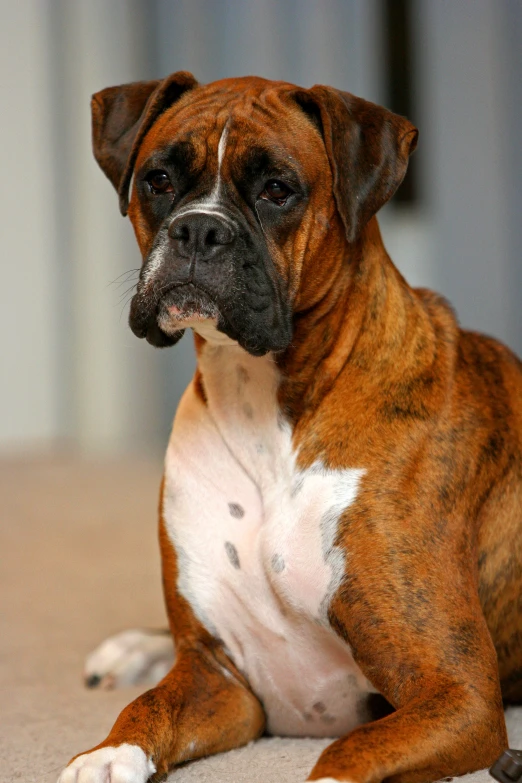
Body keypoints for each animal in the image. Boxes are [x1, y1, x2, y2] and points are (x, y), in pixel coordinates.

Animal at [57, 70, 520, 780]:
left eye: (278, 190)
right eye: (158, 180)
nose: (199, 230)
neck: (264, 413)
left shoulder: (456, 692)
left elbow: (349, 750)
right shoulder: (224, 681)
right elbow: (149, 707)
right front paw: (107, 755)